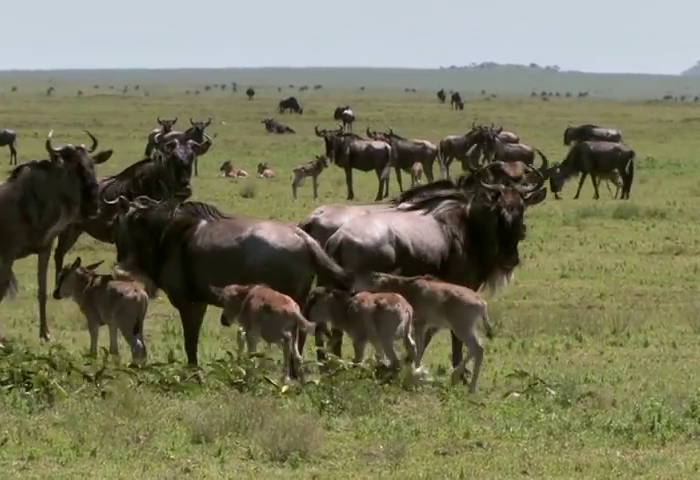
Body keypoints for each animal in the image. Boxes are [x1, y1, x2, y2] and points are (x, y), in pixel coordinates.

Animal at [352, 272, 494, 392]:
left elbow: (419, 347)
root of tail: (481, 303)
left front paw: (416, 371)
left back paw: (467, 385)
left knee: (478, 348)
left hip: (461, 328)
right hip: (465, 329)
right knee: (476, 349)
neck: (407, 287)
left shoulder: (419, 324)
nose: (355, 292)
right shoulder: (420, 326)